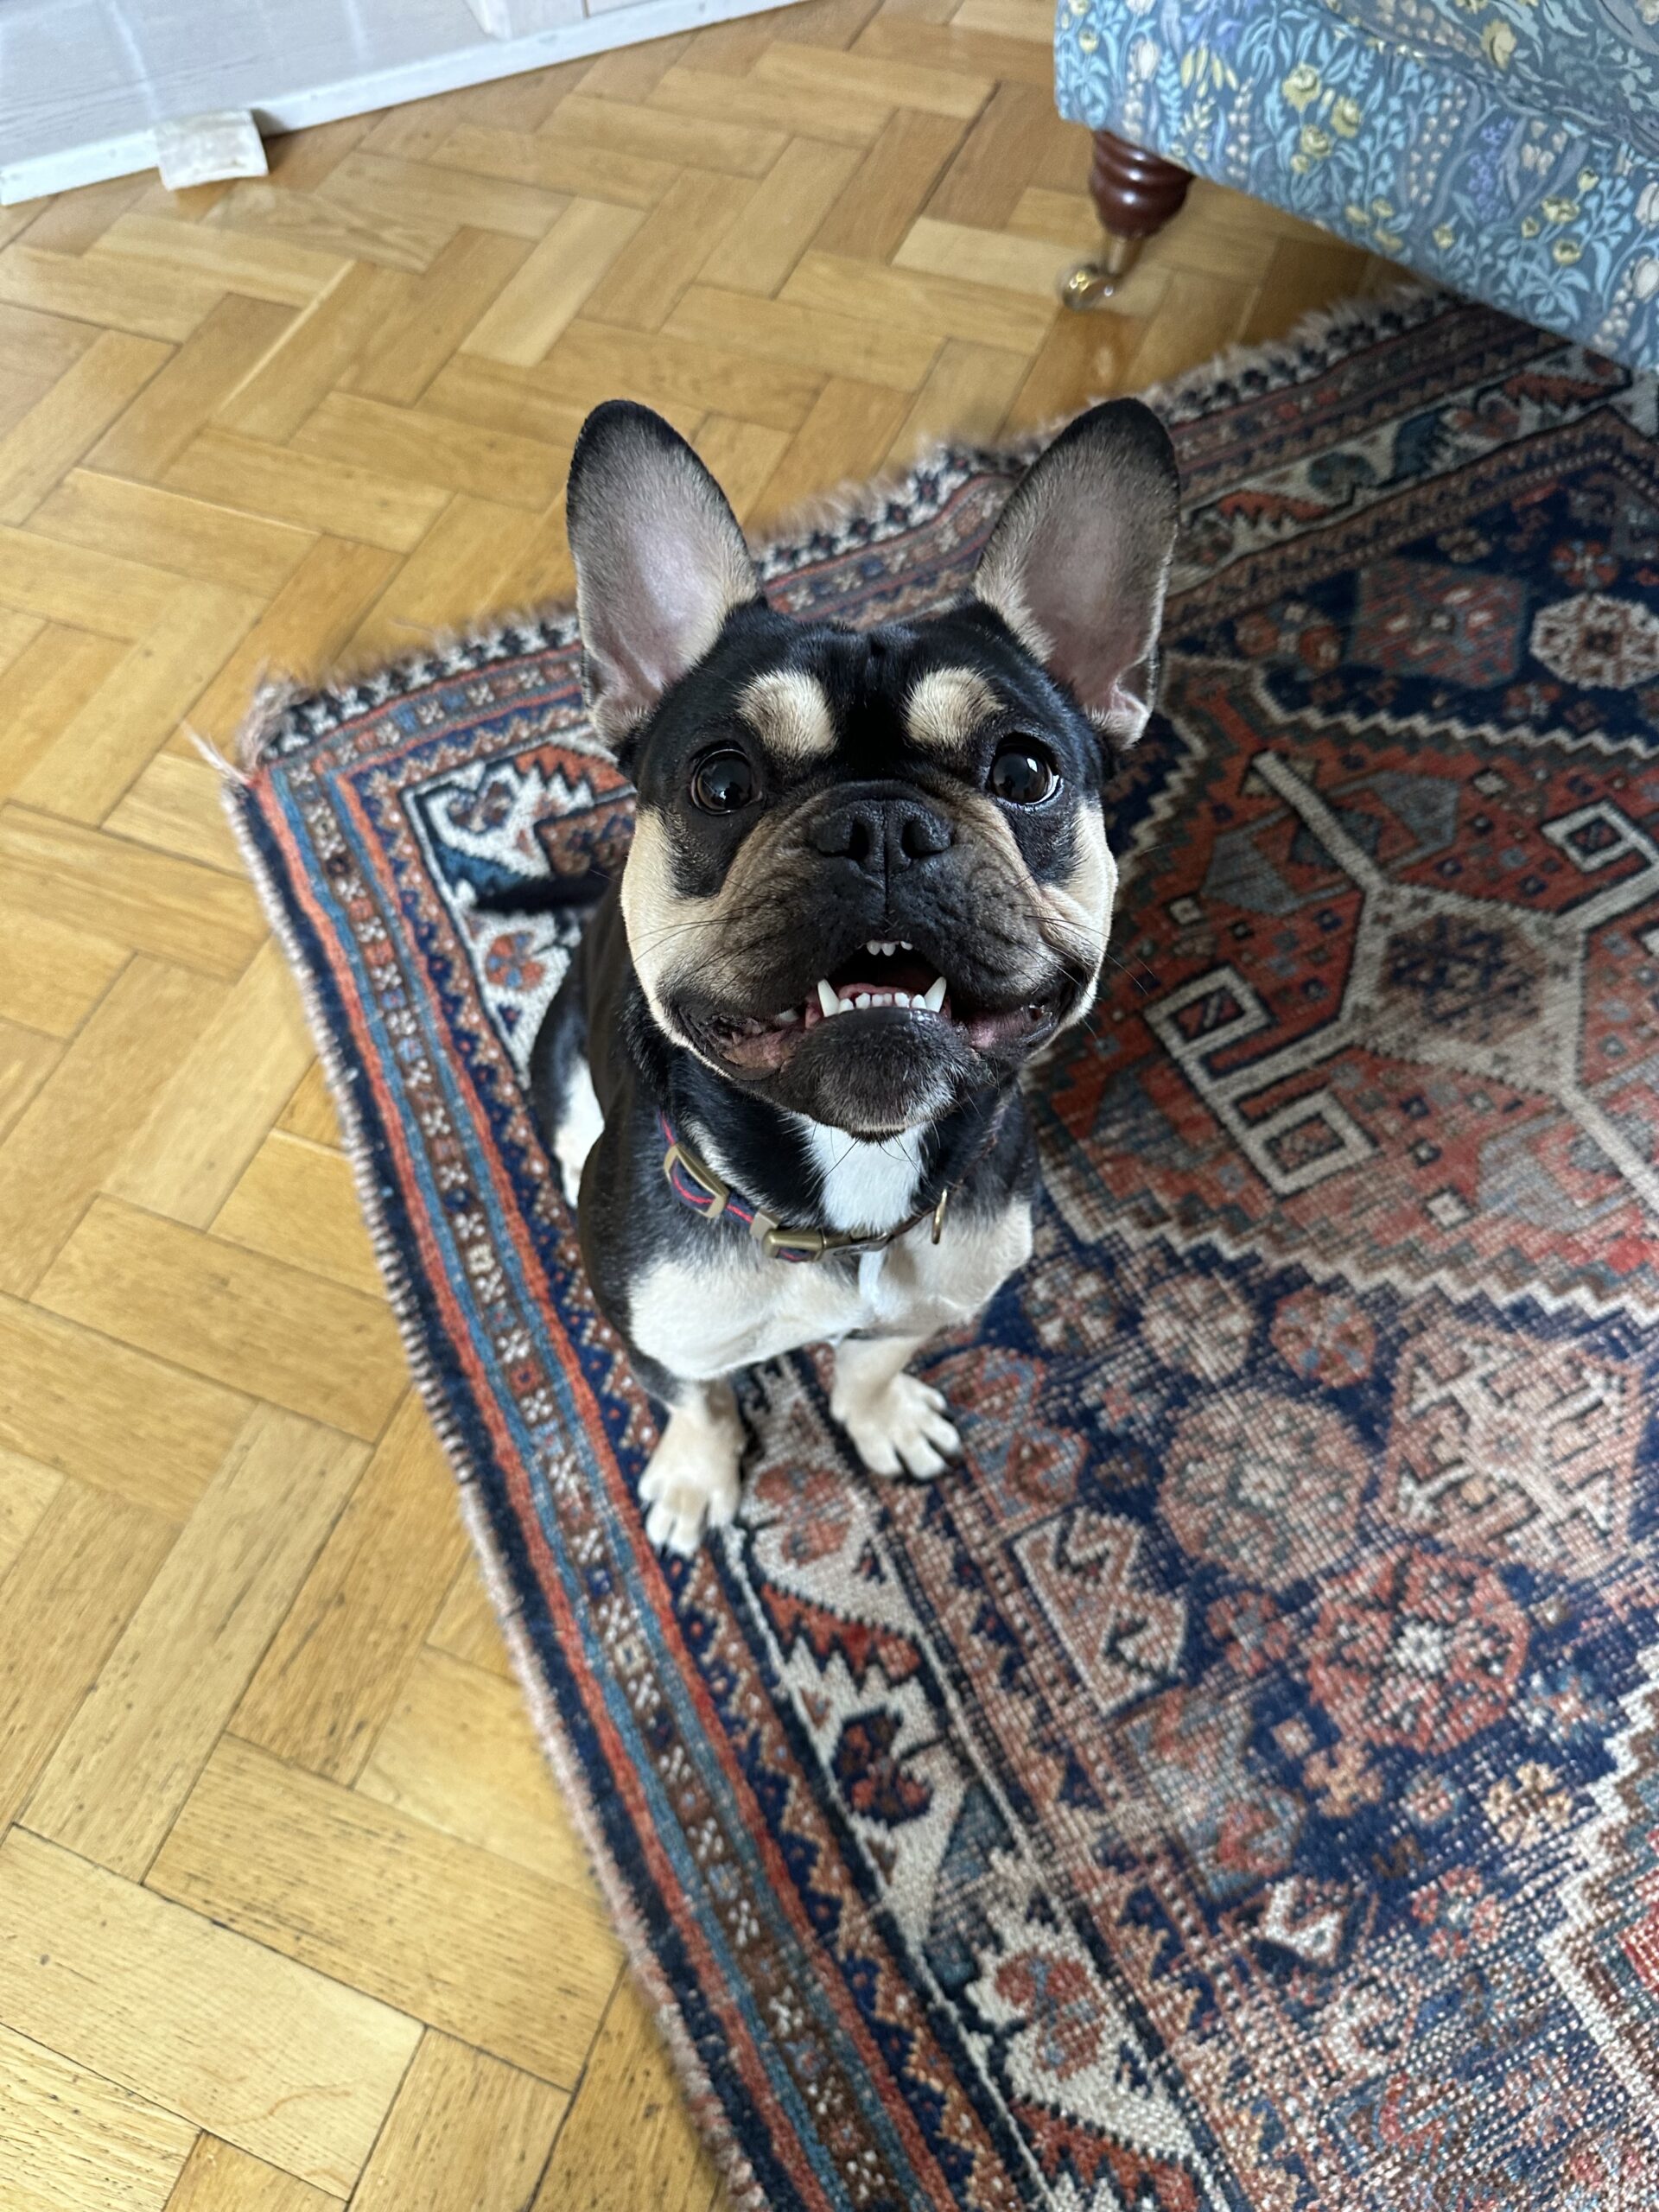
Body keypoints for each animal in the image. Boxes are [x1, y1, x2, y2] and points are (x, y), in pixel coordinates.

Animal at [530, 397, 1179, 1552]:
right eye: (722, 781)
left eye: (1026, 770)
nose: (882, 825)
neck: (855, 1171)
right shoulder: (656, 1334)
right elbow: (695, 1396)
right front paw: (697, 1476)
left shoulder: (938, 1296)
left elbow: (874, 1359)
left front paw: (879, 1415)